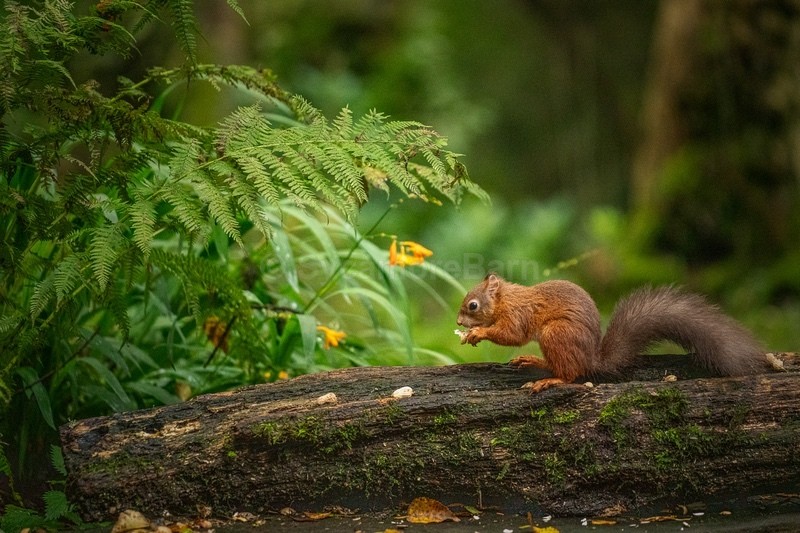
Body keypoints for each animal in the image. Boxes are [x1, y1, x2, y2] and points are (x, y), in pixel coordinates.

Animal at [456, 273, 767, 392]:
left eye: (473, 305)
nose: (458, 322)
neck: (505, 299)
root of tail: (593, 358)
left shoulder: (518, 315)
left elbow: (512, 334)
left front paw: (478, 333)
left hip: (555, 333)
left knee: (571, 374)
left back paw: (549, 379)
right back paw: (533, 362)